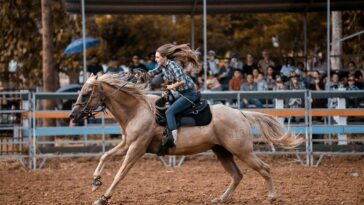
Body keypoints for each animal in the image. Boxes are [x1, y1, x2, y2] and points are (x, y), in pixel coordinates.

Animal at [69, 73, 302, 205]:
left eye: (86, 93)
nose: (72, 115)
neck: (137, 110)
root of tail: (241, 114)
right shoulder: (127, 143)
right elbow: (105, 156)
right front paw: (95, 182)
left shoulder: (136, 147)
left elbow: (120, 173)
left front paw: (103, 198)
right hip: (222, 152)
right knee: (237, 175)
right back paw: (221, 198)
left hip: (242, 151)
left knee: (264, 168)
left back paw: (271, 197)